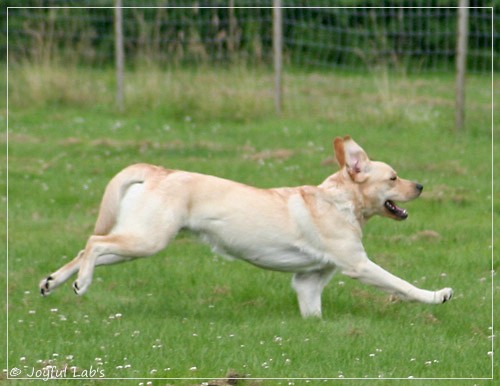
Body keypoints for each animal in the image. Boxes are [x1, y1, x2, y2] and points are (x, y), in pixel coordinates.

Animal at [39, 136, 454, 316]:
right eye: (394, 177)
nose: (421, 186)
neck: (340, 202)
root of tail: (157, 170)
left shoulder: (308, 281)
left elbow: (313, 311)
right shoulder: (359, 266)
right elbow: (402, 285)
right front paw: (438, 295)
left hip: (135, 241)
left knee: (85, 248)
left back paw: (53, 282)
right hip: (147, 240)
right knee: (93, 242)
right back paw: (81, 284)